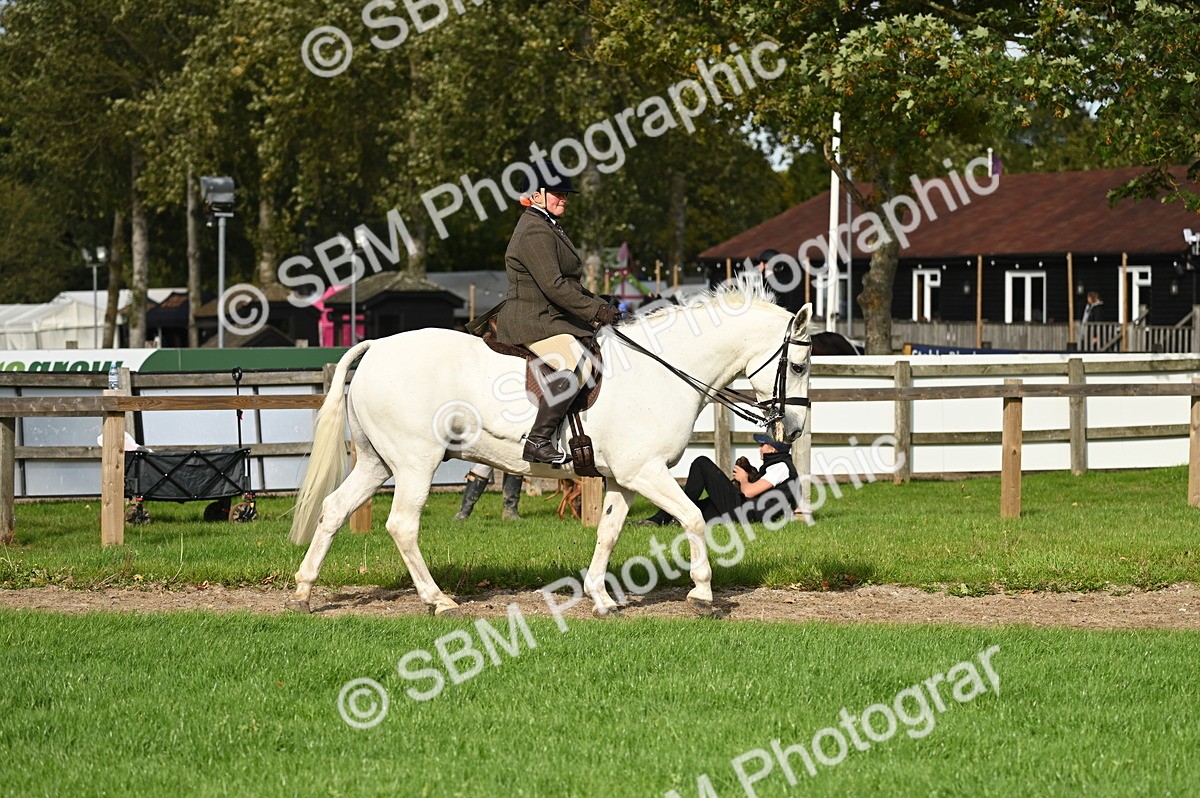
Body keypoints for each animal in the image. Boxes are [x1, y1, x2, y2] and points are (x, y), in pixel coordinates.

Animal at [287, 278, 813, 618]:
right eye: (801, 365)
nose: (794, 429)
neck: (662, 370)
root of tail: (376, 346)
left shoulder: (624, 478)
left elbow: (608, 533)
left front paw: (601, 599)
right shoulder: (646, 472)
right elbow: (694, 518)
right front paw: (703, 596)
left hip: (377, 463)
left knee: (334, 510)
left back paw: (304, 593)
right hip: (416, 462)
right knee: (401, 525)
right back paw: (439, 601)